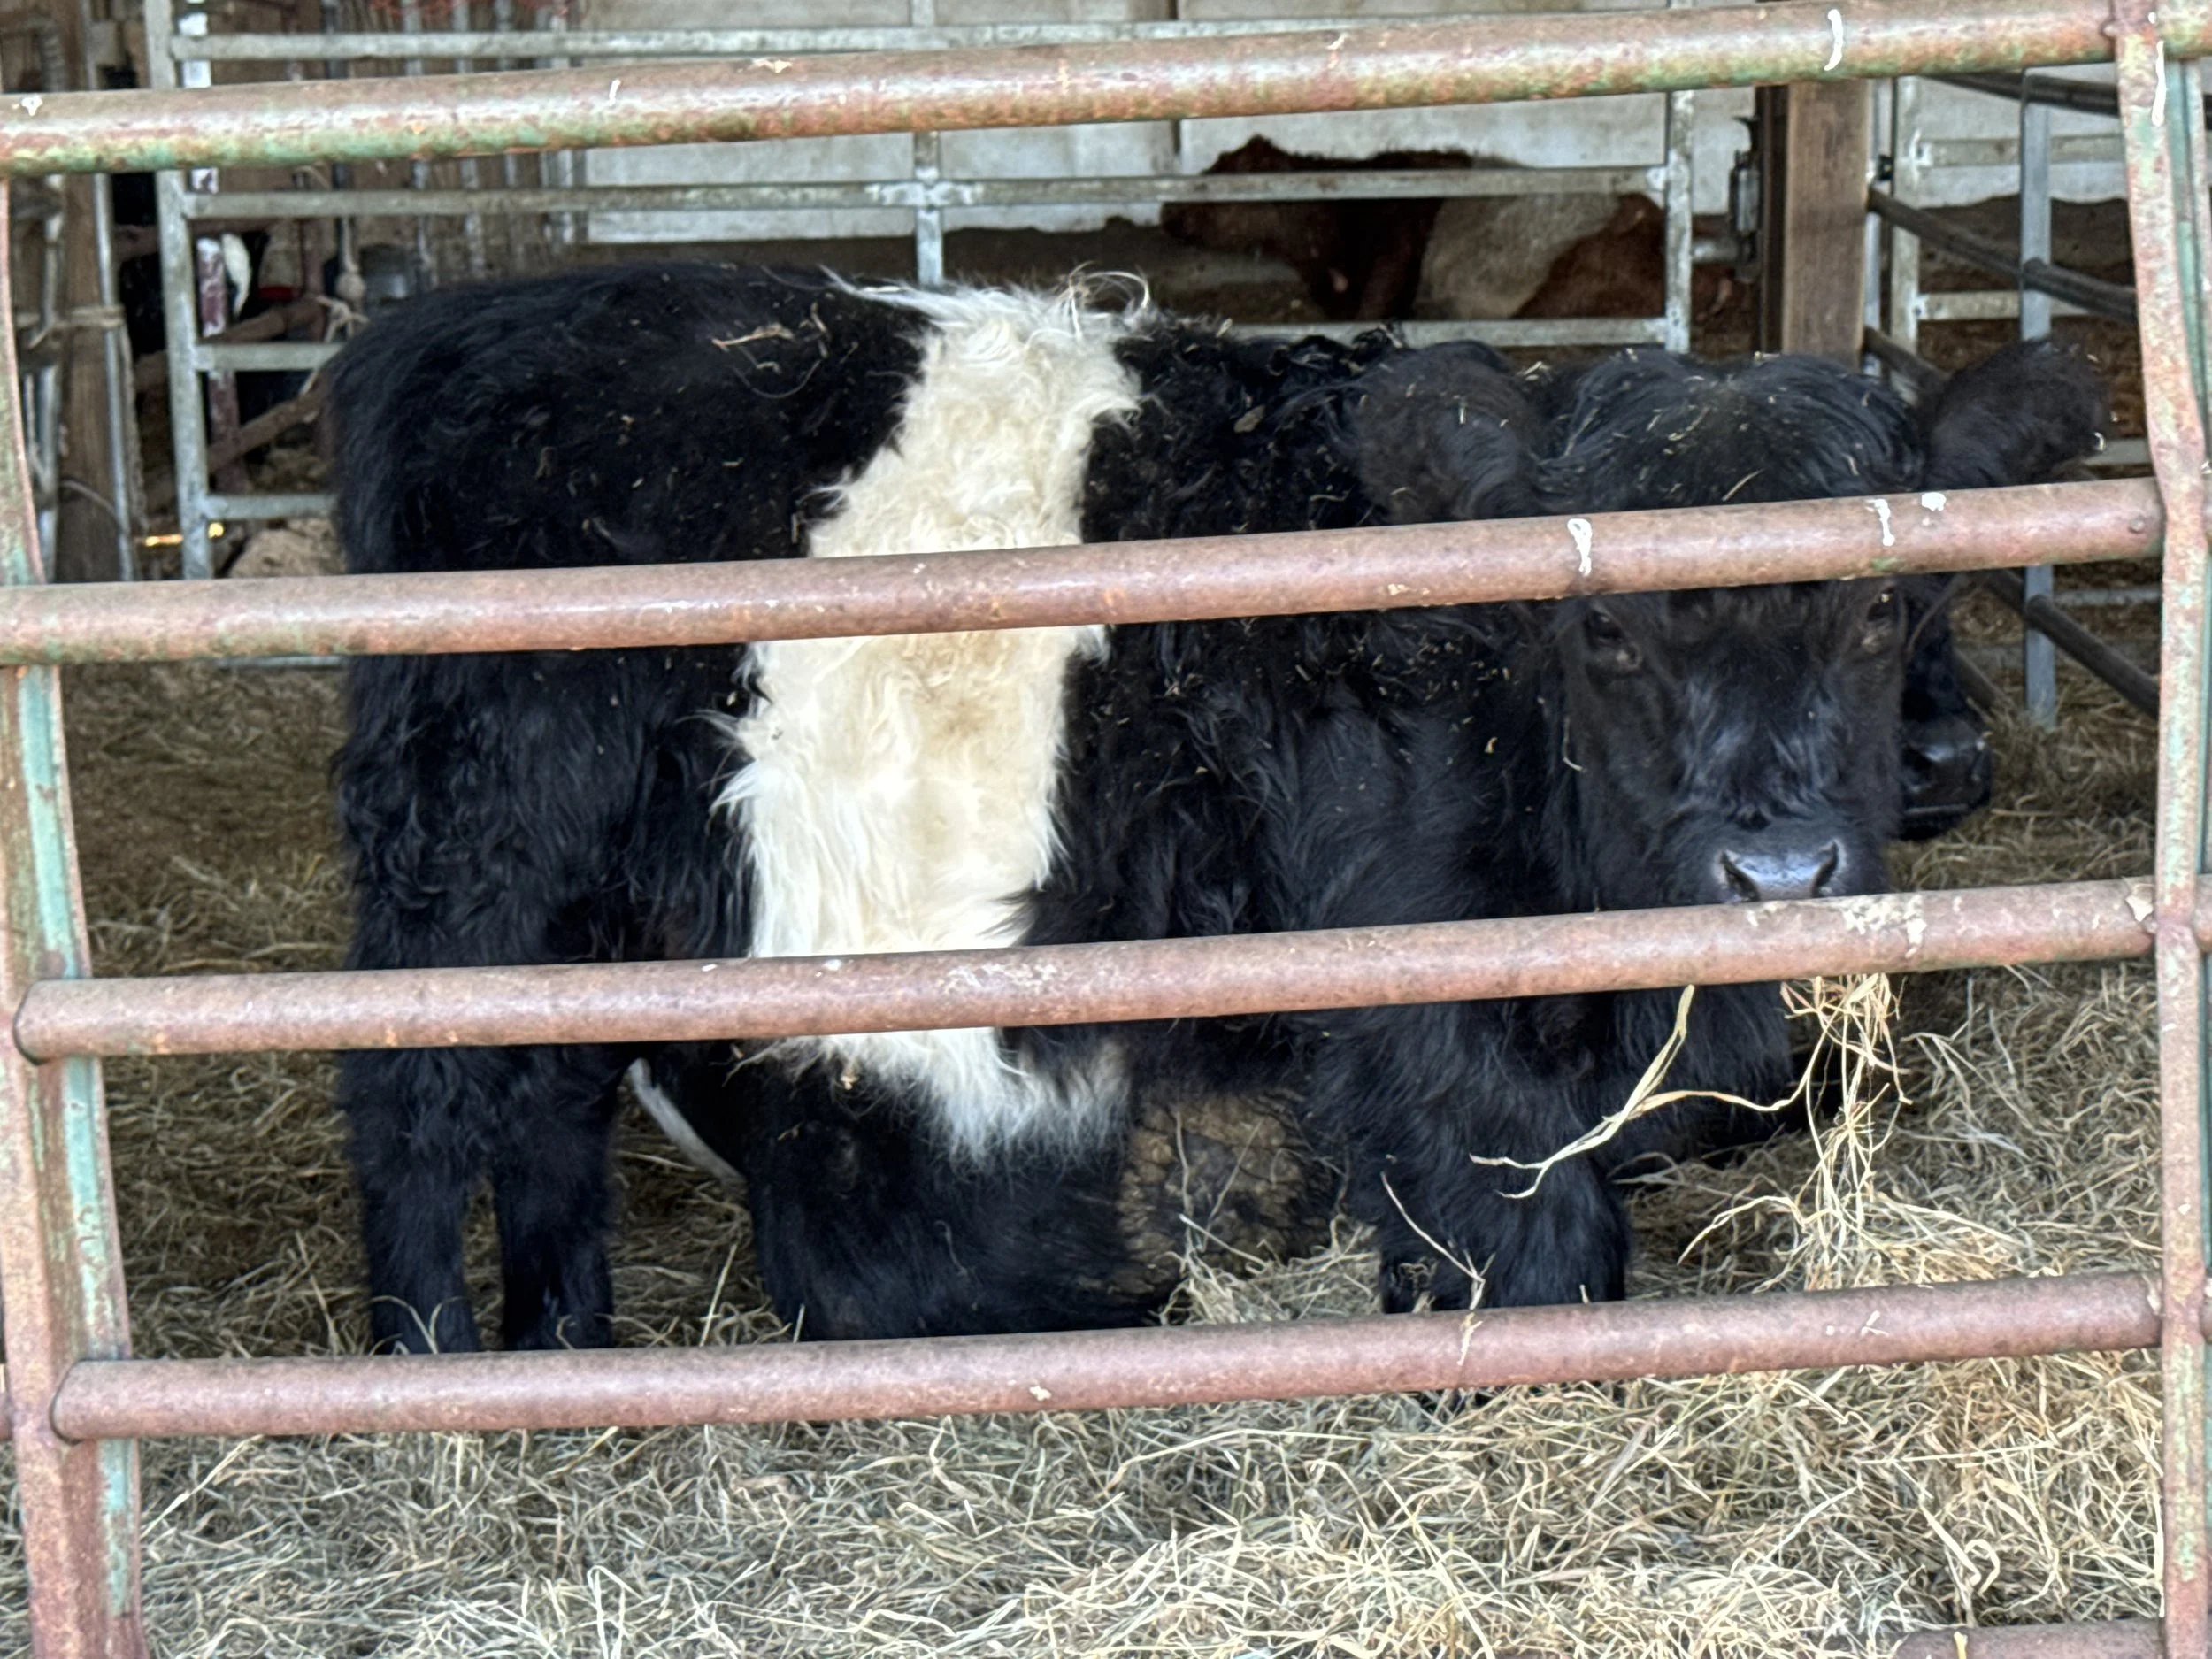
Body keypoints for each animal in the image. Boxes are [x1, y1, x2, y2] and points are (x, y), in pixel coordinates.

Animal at [324, 264, 2100, 1350]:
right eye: (1607, 629)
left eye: (1887, 605)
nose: (1783, 861)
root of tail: (456, 330)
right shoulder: (1439, 1001)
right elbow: (1519, 1223)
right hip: (473, 861)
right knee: (423, 1103)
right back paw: (437, 1369)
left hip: (581, 907)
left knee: (548, 1103)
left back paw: (565, 1337)